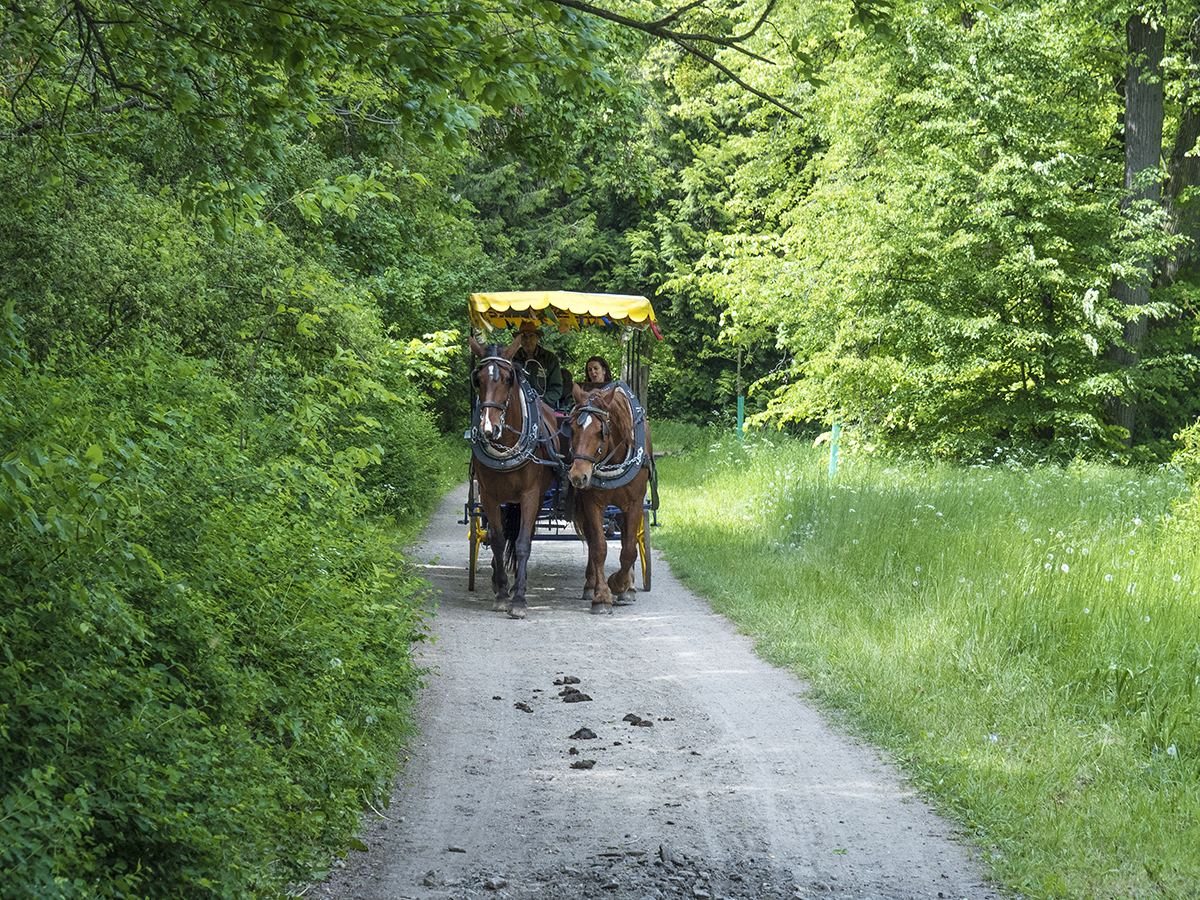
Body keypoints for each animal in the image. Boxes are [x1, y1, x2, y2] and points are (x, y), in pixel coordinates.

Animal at [468, 336, 561, 619]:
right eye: (478, 379)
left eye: (509, 379)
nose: (489, 428)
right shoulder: (489, 495)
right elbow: (498, 540)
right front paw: (501, 594)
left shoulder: (530, 495)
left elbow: (522, 544)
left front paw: (519, 599)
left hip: (536, 498)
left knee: (524, 536)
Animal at [564, 381, 652, 614]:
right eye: (572, 428)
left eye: (599, 431)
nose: (578, 476)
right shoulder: (592, 504)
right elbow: (598, 547)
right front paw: (602, 596)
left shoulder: (635, 504)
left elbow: (629, 549)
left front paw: (619, 584)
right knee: (592, 540)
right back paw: (591, 584)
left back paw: (629, 587)